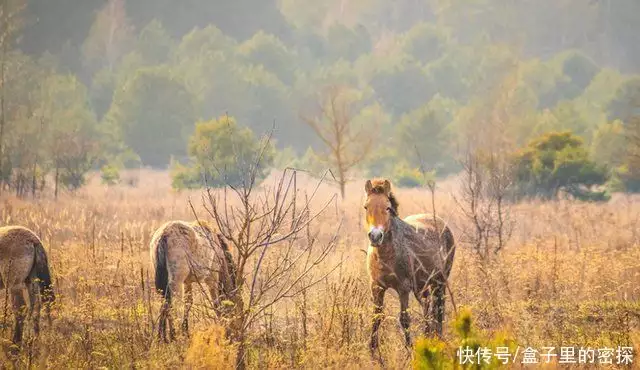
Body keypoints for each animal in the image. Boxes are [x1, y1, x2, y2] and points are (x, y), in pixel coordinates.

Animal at [362, 179, 458, 352]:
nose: (375, 236)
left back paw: (438, 339)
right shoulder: (376, 287)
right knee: (427, 308)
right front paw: (372, 351)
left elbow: (404, 318)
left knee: (439, 310)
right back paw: (428, 337)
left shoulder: (403, 288)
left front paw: (409, 349)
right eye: (366, 207)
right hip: (423, 287)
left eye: (387, 207)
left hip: (439, 282)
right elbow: (376, 318)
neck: (385, 256)